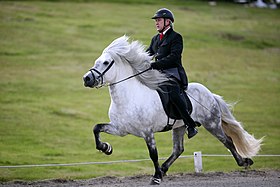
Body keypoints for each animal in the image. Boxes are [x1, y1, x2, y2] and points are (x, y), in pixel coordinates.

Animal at [82, 35, 262, 185]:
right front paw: (106, 148)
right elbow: (96, 128)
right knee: (178, 149)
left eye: (106, 63)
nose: (87, 79)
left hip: (211, 123)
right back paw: (164, 168)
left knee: (228, 141)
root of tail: (210, 93)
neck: (129, 98)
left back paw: (244, 162)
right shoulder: (120, 129)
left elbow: (153, 154)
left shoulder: (147, 132)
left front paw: (156, 177)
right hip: (180, 126)